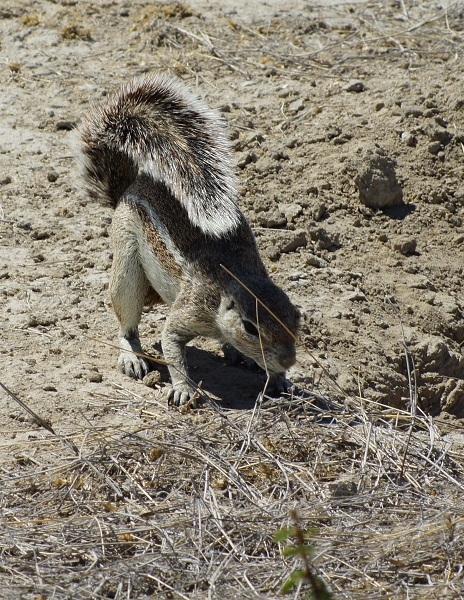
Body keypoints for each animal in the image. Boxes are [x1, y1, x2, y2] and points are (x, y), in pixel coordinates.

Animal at [73, 72, 300, 406]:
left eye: (296, 318)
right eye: (250, 327)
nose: (288, 360)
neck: (235, 282)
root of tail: (129, 186)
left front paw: (280, 380)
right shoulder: (189, 310)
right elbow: (171, 345)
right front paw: (183, 389)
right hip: (127, 266)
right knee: (126, 323)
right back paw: (132, 356)